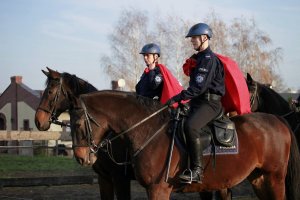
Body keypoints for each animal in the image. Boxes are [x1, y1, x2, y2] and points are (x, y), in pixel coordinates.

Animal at [72, 91, 300, 200]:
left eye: (77, 124)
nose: (81, 157)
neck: (148, 129)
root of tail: (278, 120)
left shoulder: (157, 189)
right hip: (259, 178)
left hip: (274, 178)